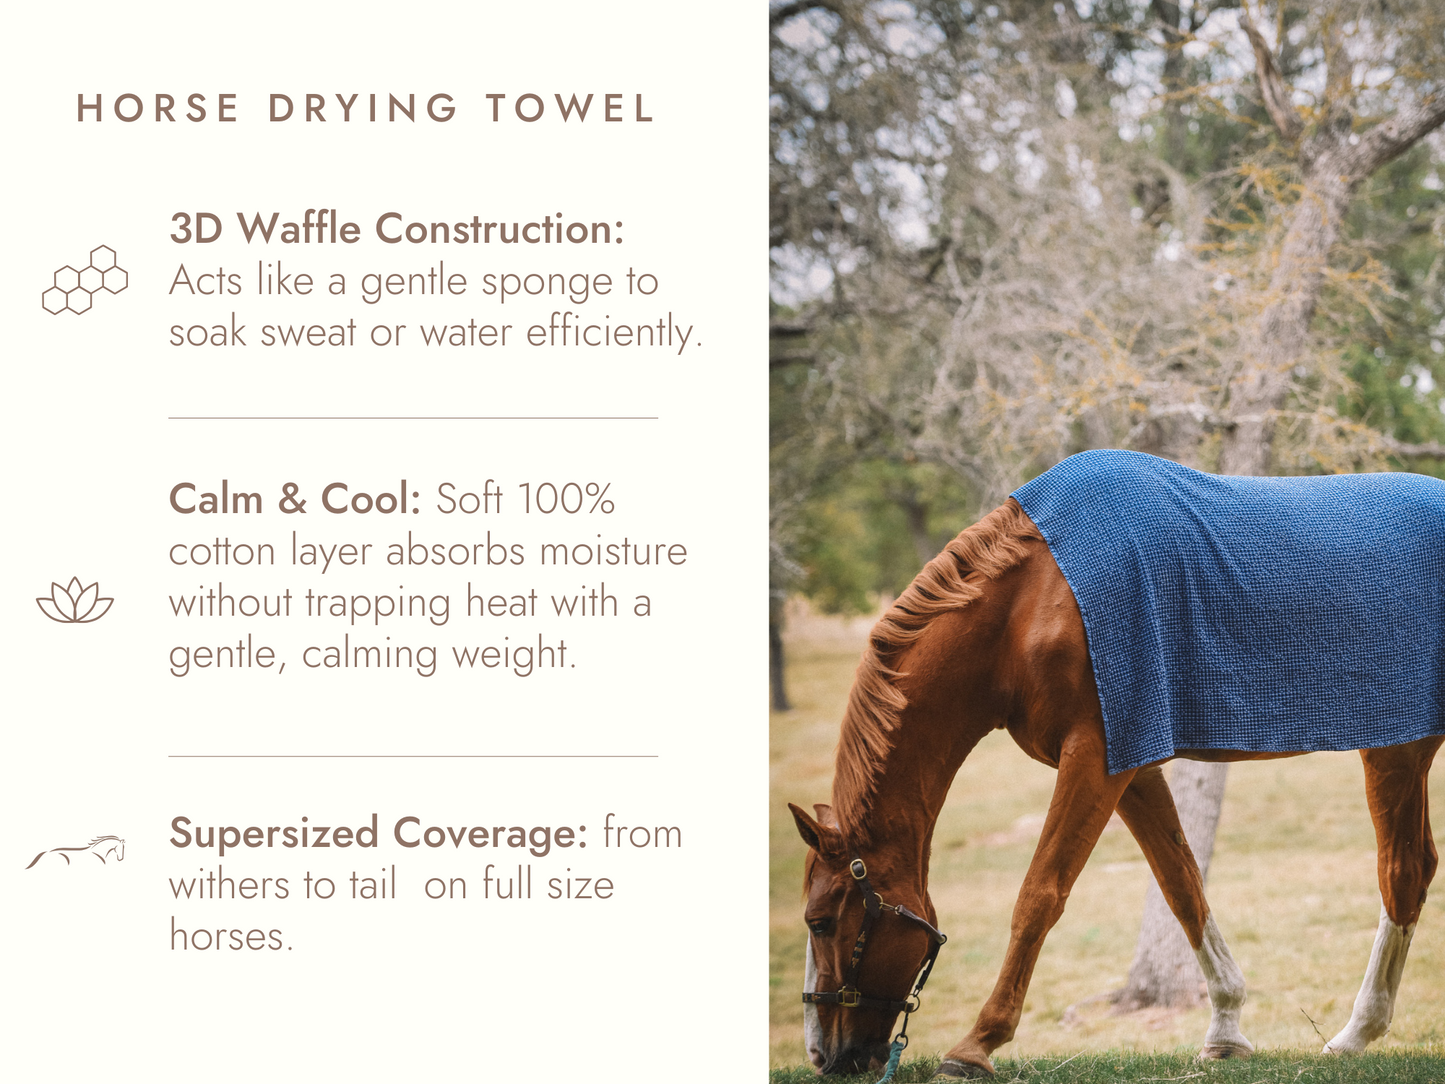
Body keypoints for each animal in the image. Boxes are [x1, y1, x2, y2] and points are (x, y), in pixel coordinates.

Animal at [790, 453, 1445, 1079]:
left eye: (819, 922)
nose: (823, 1056)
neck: (1029, 604)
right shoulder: (1133, 763)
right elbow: (1182, 883)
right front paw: (1225, 1030)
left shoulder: (1095, 761)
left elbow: (1039, 895)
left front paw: (977, 1044)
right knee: (1412, 869)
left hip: (1395, 748)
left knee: (1401, 871)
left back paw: (1355, 1034)